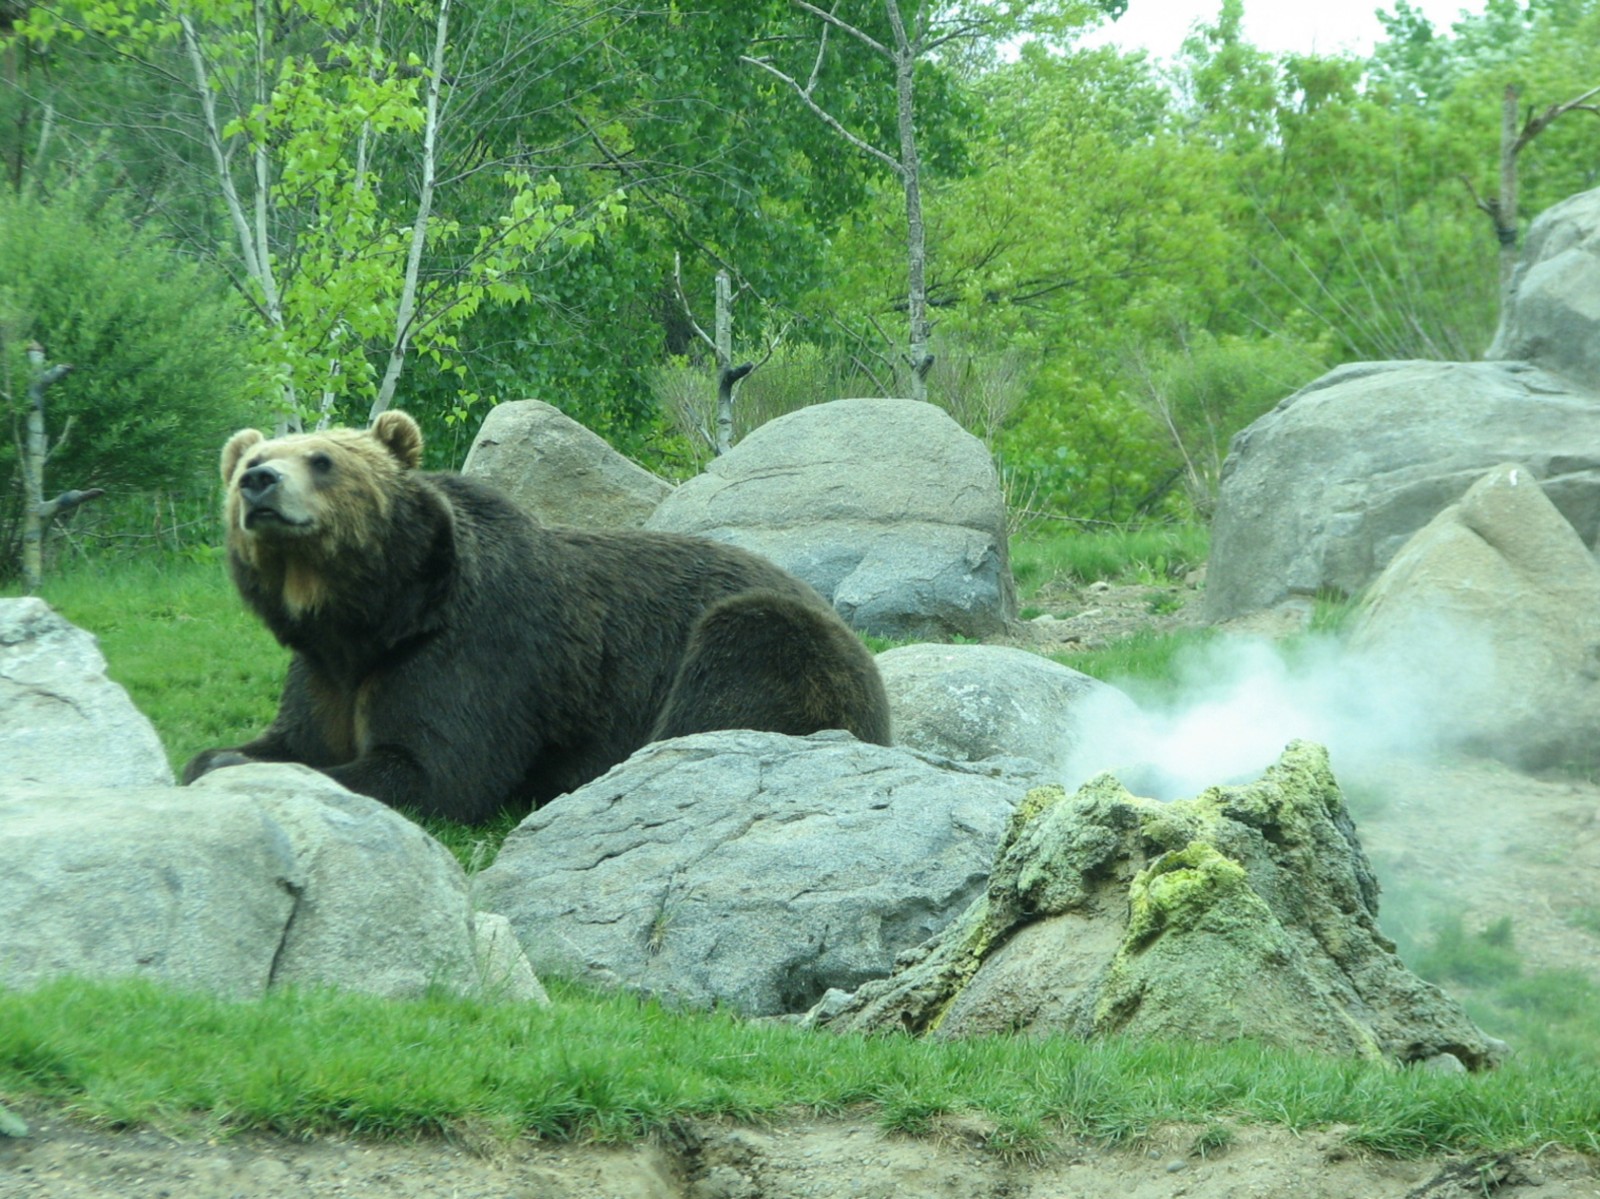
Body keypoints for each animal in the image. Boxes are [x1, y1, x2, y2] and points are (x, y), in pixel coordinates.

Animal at [182, 409, 891, 824]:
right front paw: (218, 758)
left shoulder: (475, 652)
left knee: (740, 661)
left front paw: (238, 769)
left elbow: (434, 770)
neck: (375, 618)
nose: (260, 483)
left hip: (777, 643)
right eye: (250, 461)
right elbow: (295, 736)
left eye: (322, 460)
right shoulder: (324, 673)